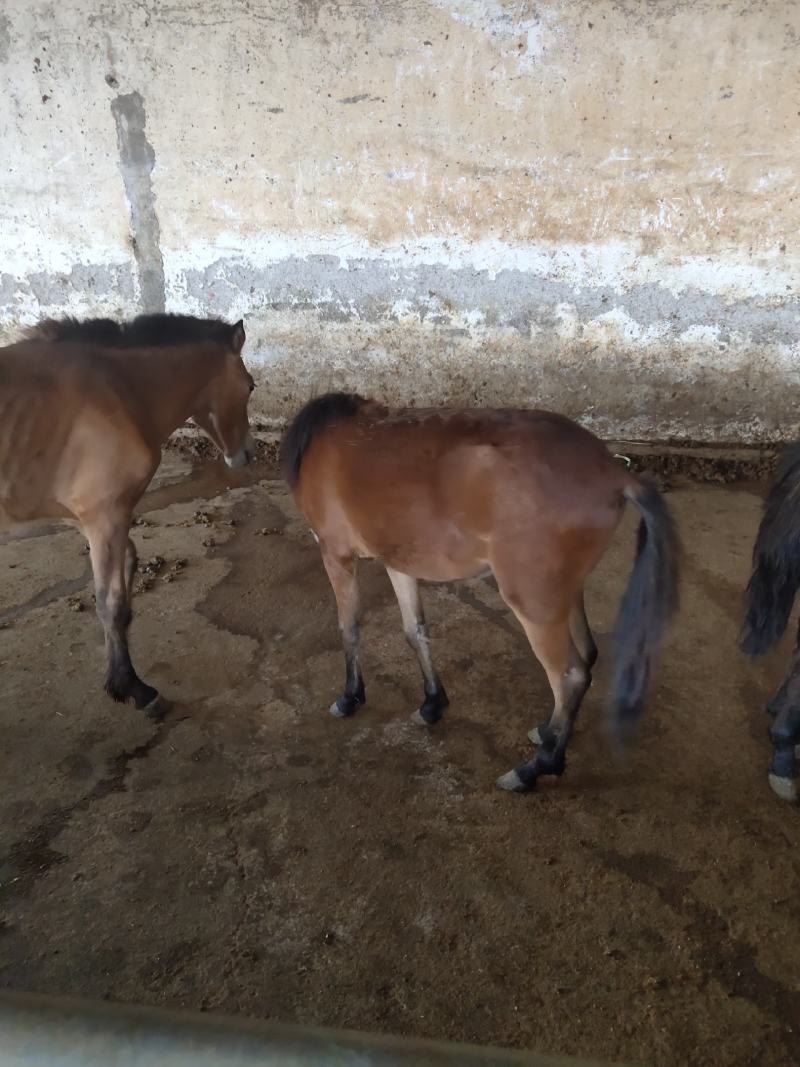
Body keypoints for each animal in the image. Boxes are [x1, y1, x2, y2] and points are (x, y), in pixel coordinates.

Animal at [0, 313, 256, 715]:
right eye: (250, 386)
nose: (246, 453)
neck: (118, 391)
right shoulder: (103, 515)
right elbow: (111, 600)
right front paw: (133, 686)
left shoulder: (83, 515)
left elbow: (130, 562)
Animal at [280, 393, 680, 791]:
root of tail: (615, 474)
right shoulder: (398, 560)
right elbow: (415, 631)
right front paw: (432, 704)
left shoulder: (336, 554)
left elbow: (349, 627)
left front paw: (350, 697)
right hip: (564, 593)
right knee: (587, 654)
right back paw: (547, 733)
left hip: (533, 602)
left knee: (570, 677)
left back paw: (536, 768)